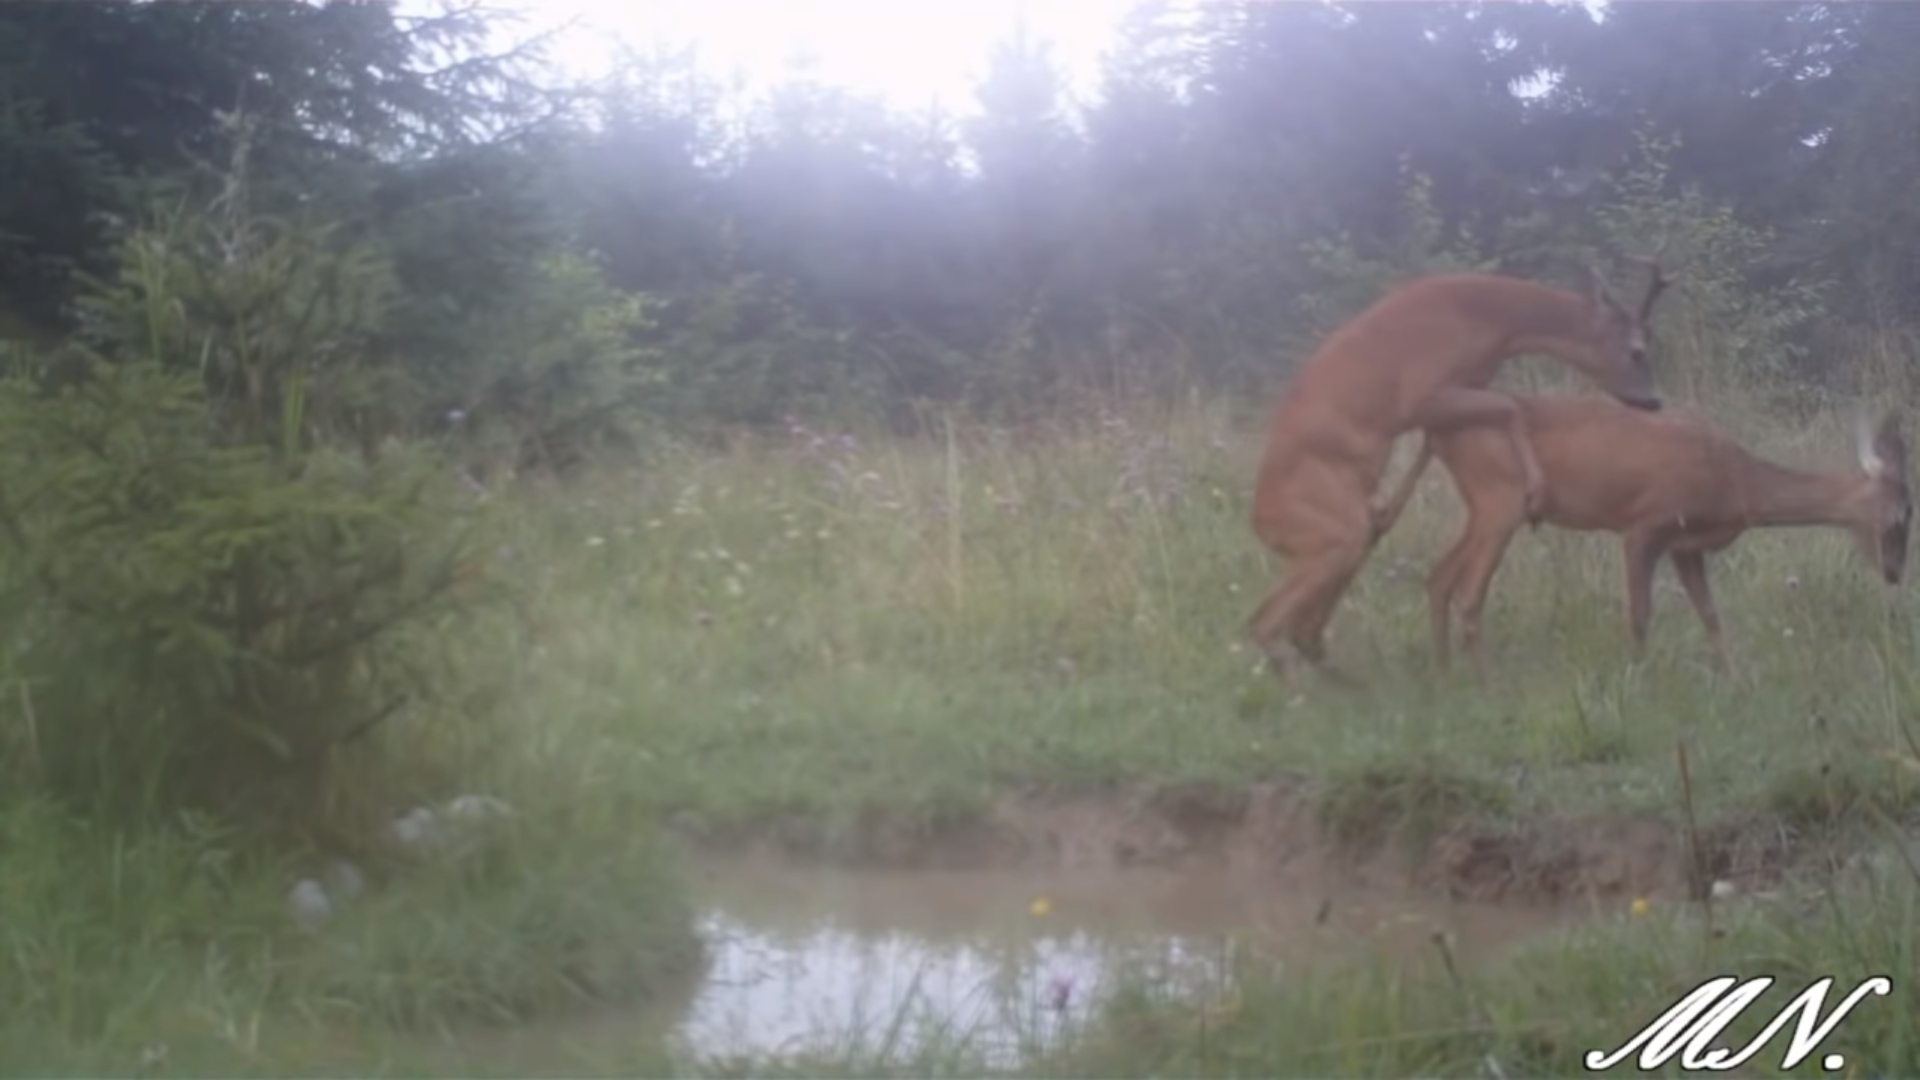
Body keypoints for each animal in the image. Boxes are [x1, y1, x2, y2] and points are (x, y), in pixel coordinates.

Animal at [1244, 263, 1666, 680]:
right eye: (1636, 351)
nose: (1654, 401)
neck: (1486, 322)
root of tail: (1263, 524)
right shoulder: (1422, 392)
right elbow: (1510, 408)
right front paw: (1534, 486)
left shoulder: (1463, 391)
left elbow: (1464, 427)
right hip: (1332, 532)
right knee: (1266, 622)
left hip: (1341, 537)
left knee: (1305, 623)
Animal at [1367, 395, 1904, 676]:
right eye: (1903, 518)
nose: (1897, 573)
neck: (1735, 483)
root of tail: (1435, 430)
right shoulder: (1645, 525)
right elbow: (1640, 614)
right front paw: (1639, 678)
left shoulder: (1686, 545)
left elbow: (1711, 615)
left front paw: (1734, 677)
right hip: (1501, 500)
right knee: (1469, 592)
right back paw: (1488, 681)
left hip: (1482, 506)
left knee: (1439, 577)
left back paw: (1443, 674)